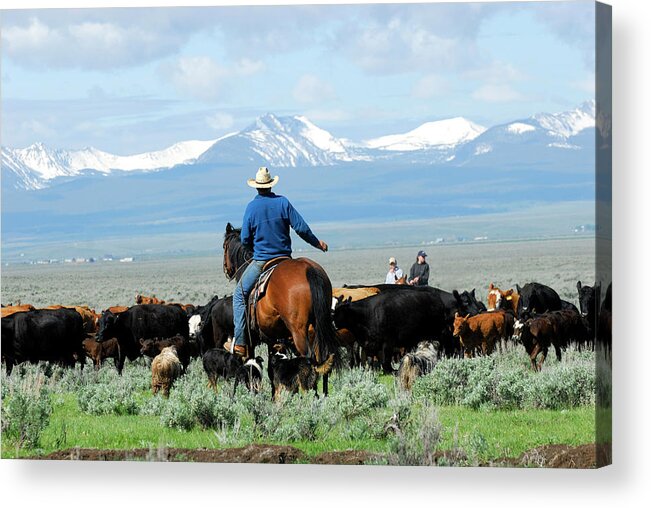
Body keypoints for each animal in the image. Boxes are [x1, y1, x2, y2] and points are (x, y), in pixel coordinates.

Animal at [222, 223, 338, 396]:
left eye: (224, 246)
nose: (226, 269)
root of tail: (308, 268)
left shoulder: (250, 340)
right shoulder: (273, 338)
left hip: (299, 330)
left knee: (308, 357)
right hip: (319, 325)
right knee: (322, 357)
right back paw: (322, 394)